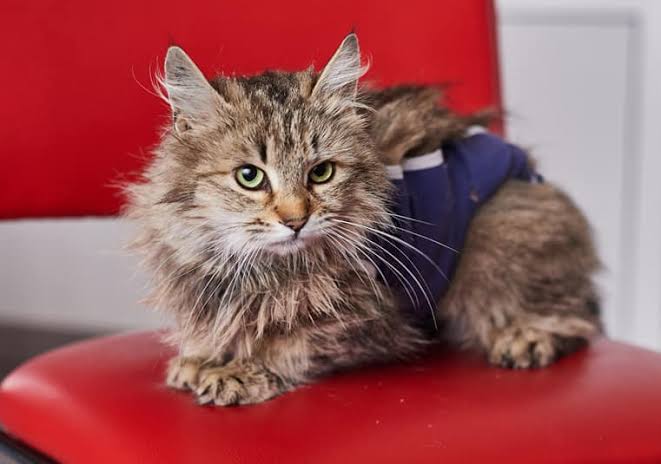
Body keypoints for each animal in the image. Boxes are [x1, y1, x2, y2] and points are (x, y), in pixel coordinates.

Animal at [125, 33, 602, 406]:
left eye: (321, 173)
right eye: (249, 177)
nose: (296, 220)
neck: (256, 269)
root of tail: (531, 174)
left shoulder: (371, 318)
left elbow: (291, 344)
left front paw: (239, 370)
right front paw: (200, 357)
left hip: (498, 241)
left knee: (579, 319)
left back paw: (525, 338)